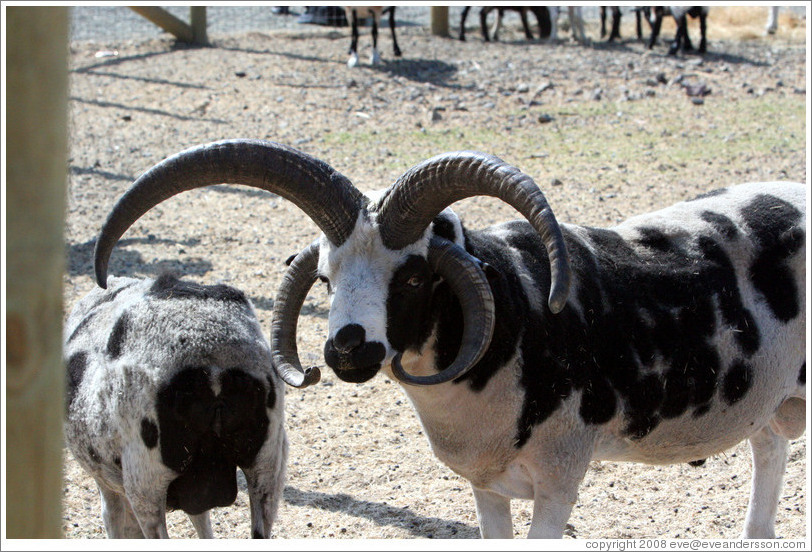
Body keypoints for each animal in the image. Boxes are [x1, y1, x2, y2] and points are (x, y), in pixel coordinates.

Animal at [93, 140, 805, 539]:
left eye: (412, 277)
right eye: (325, 276)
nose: (345, 350)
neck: (519, 321)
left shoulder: (560, 478)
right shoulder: (486, 486)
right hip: (770, 400)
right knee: (770, 449)